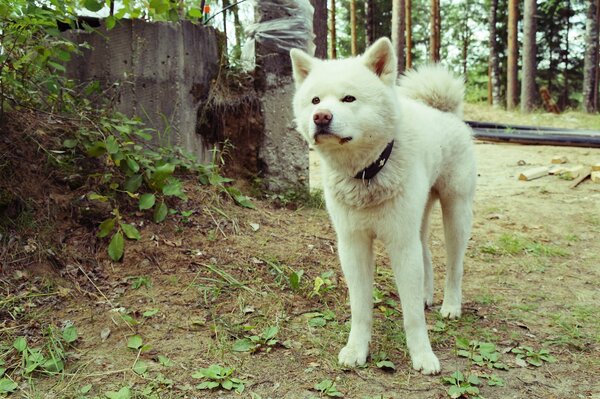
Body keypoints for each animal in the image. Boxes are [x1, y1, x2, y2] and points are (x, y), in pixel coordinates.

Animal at [290, 37, 478, 376]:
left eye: (349, 98)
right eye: (315, 100)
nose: (321, 116)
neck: (368, 173)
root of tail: (441, 110)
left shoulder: (400, 244)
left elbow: (412, 315)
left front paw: (422, 355)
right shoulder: (353, 245)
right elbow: (360, 307)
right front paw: (356, 349)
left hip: (456, 213)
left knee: (454, 266)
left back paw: (451, 305)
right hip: (418, 219)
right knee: (427, 253)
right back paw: (428, 295)